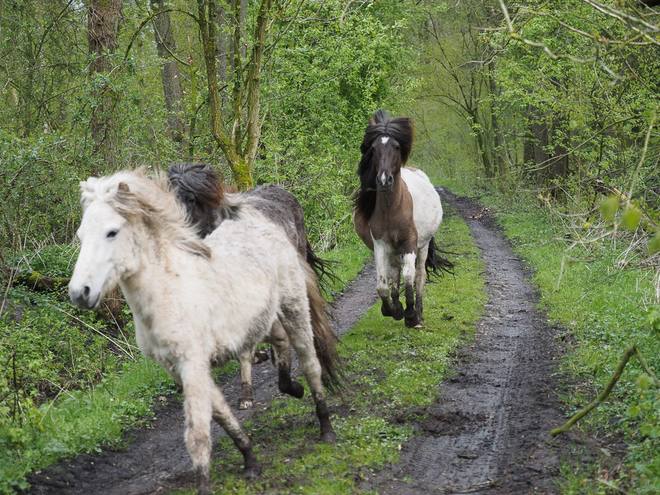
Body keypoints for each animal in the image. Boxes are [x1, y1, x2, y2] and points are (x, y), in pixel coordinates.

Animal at [350, 112, 454, 330]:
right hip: (392, 249)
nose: (384, 181)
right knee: (395, 270)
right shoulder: (380, 245)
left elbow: (409, 276)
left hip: (423, 246)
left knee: (419, 276)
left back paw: (419, 315)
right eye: (373, 149)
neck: (393, 209)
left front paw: (412, 315)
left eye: (397, 147)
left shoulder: (410, 244)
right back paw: (397, 306)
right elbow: (382, 285)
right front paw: (391, 309)